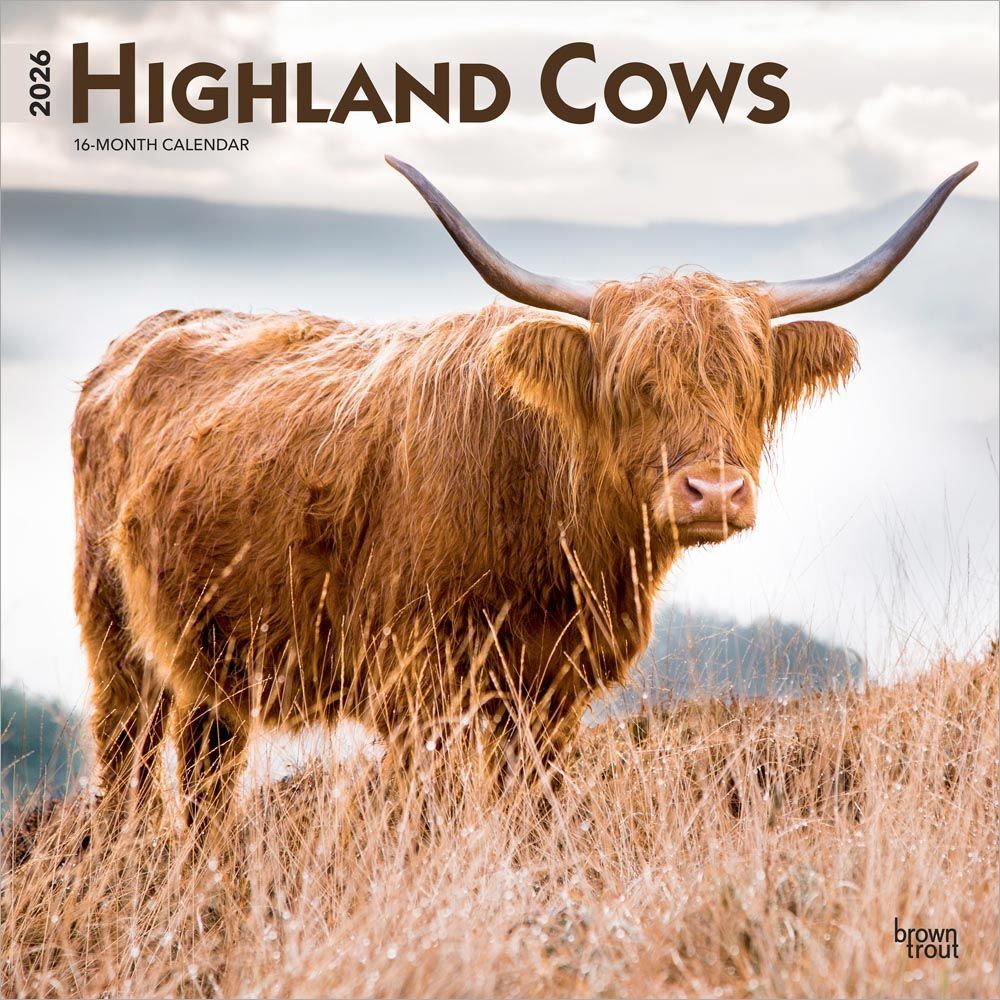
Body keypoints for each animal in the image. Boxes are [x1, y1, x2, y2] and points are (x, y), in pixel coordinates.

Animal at [72, 158, 975, 823]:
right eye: (634, 384)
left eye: (751, 384)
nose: (713, 493)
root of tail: (136, 340)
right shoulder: (419, 687)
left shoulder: (552, 696)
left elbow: (532, 810)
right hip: (116, 634)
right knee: (128, 759)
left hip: (212, 659)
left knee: (207, 769)